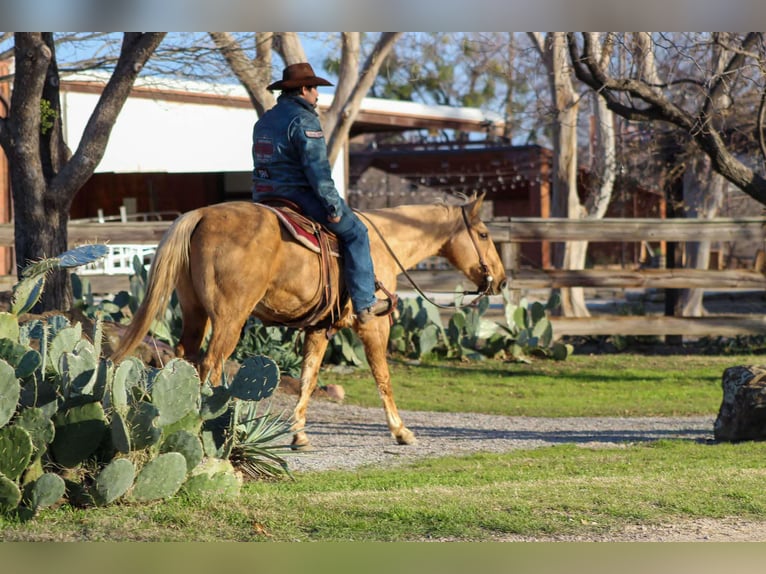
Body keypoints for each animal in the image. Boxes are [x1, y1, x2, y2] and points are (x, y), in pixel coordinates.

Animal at [111, 193, 507, 448]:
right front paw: (400, 430)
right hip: (229, 320)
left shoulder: (319, 330)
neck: (384, 243)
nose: (501, 281)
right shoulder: (374, 324)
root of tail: (202, 215)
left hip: (196, 315)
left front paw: (299, 435)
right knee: (212, 364)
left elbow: (307, 380)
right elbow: (383, 377)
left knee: (186, 359)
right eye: (484, 234)